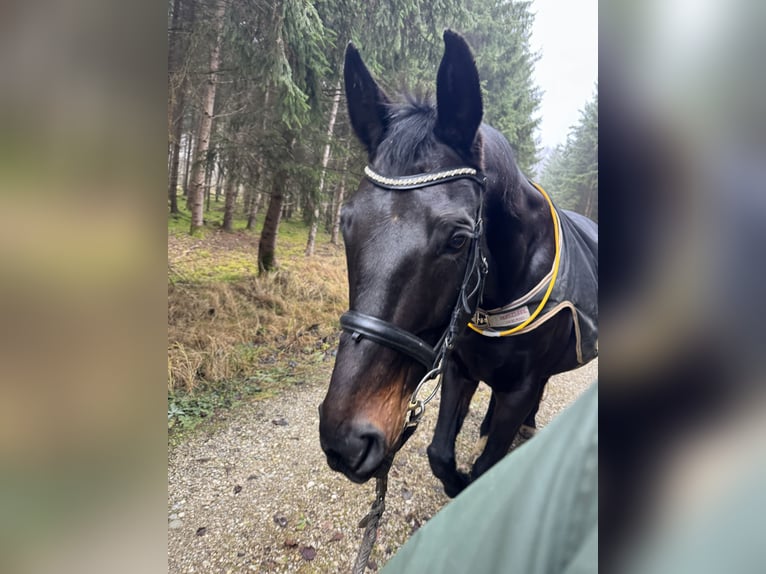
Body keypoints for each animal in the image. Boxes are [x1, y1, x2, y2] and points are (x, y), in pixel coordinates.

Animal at [319, 30, 598, 498]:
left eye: (457, 239)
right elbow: (439, 454)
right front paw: (457, 480)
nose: (346, 440)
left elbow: (487, 465)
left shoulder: (519, 388)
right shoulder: (458, 367)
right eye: (345, 223)